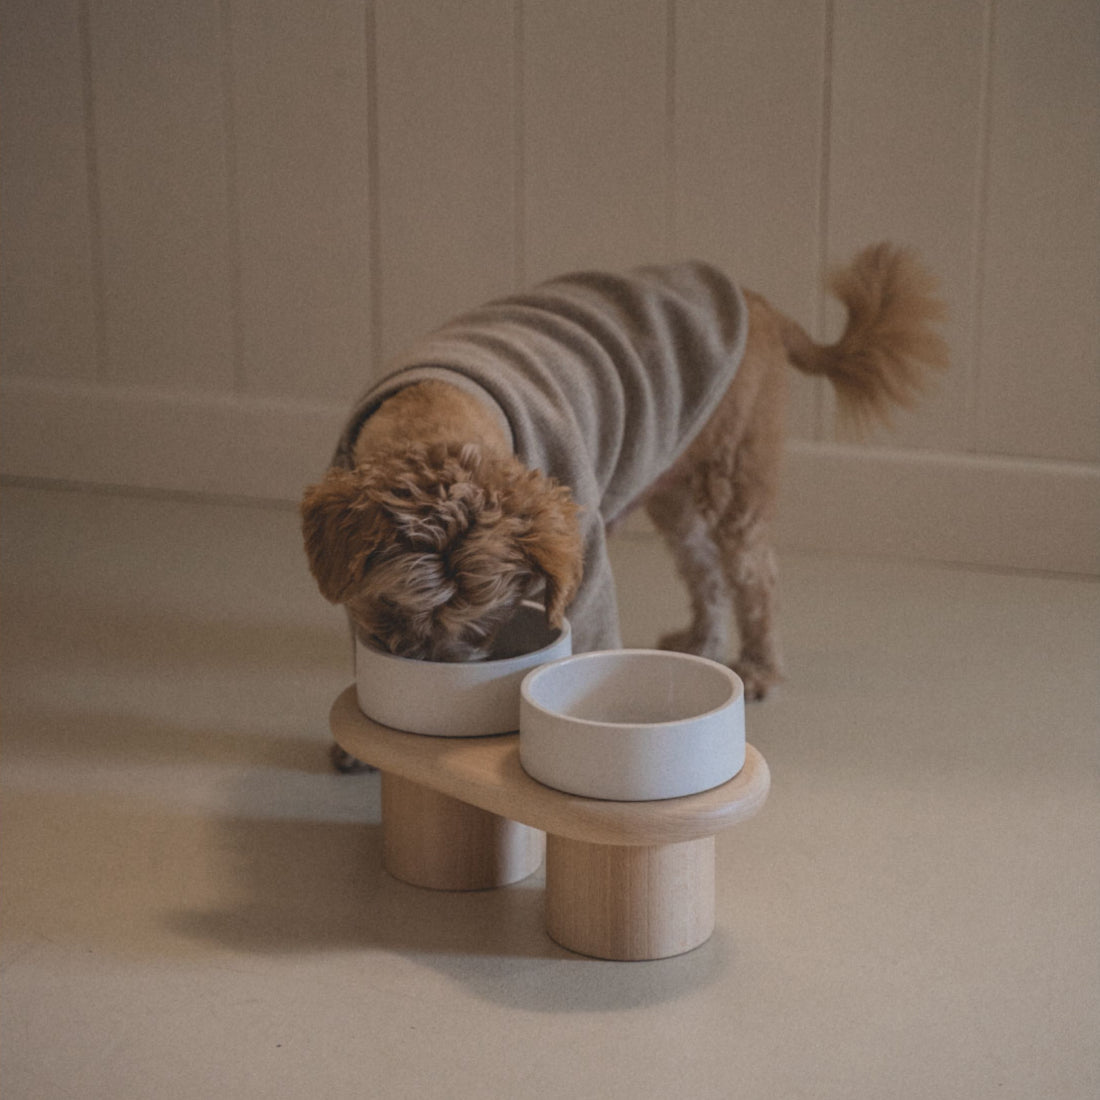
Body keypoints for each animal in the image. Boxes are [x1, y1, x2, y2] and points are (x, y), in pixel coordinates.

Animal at [301, 245, 946, 770]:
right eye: (389, 613)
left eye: (483, 622)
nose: (432, 670)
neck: (435, 413)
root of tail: (759, 304)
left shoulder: (579, 560)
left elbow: (585, 641)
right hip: (674, 485)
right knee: (705, 569)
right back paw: (701, 641)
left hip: (735, 475)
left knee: (755, 575)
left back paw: (759, 667)